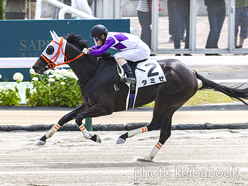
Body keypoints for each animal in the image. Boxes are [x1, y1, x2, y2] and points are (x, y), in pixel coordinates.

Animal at [32, 31, 248, 161]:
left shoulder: (106, 107)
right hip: (173, 104)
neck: (94, 71)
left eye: (50, 49)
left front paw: (94, 137)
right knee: (164, 130)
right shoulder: (88, 104)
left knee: (155, 124)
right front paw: (42, 138)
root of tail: (192, 71)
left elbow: (77, 119)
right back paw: (148, 156)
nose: (35, 67)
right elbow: (65, 117)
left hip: (165, 99)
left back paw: (124, 137)